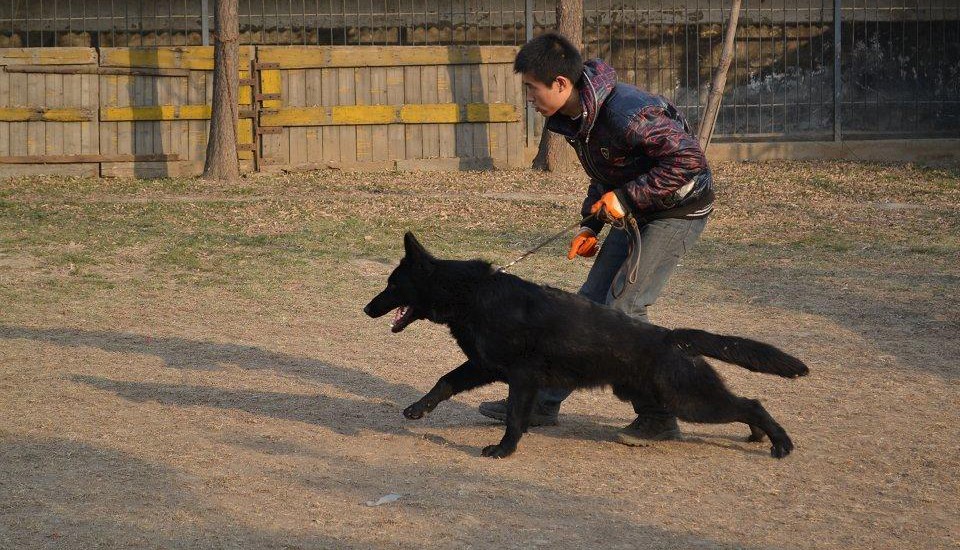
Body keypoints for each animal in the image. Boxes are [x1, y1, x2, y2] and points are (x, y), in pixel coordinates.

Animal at [364, 233, 808, 462]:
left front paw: (505, 449)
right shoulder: (484, 365)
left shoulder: (520, 378)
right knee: (744, 405)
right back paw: (756, 436)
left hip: (691, 400)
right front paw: (418, 408)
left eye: (391, 284)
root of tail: (671, 336)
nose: (366, 309)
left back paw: (779, 442)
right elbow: (444, 381)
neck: (470, 293)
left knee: (751, 403)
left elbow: (514, 417)